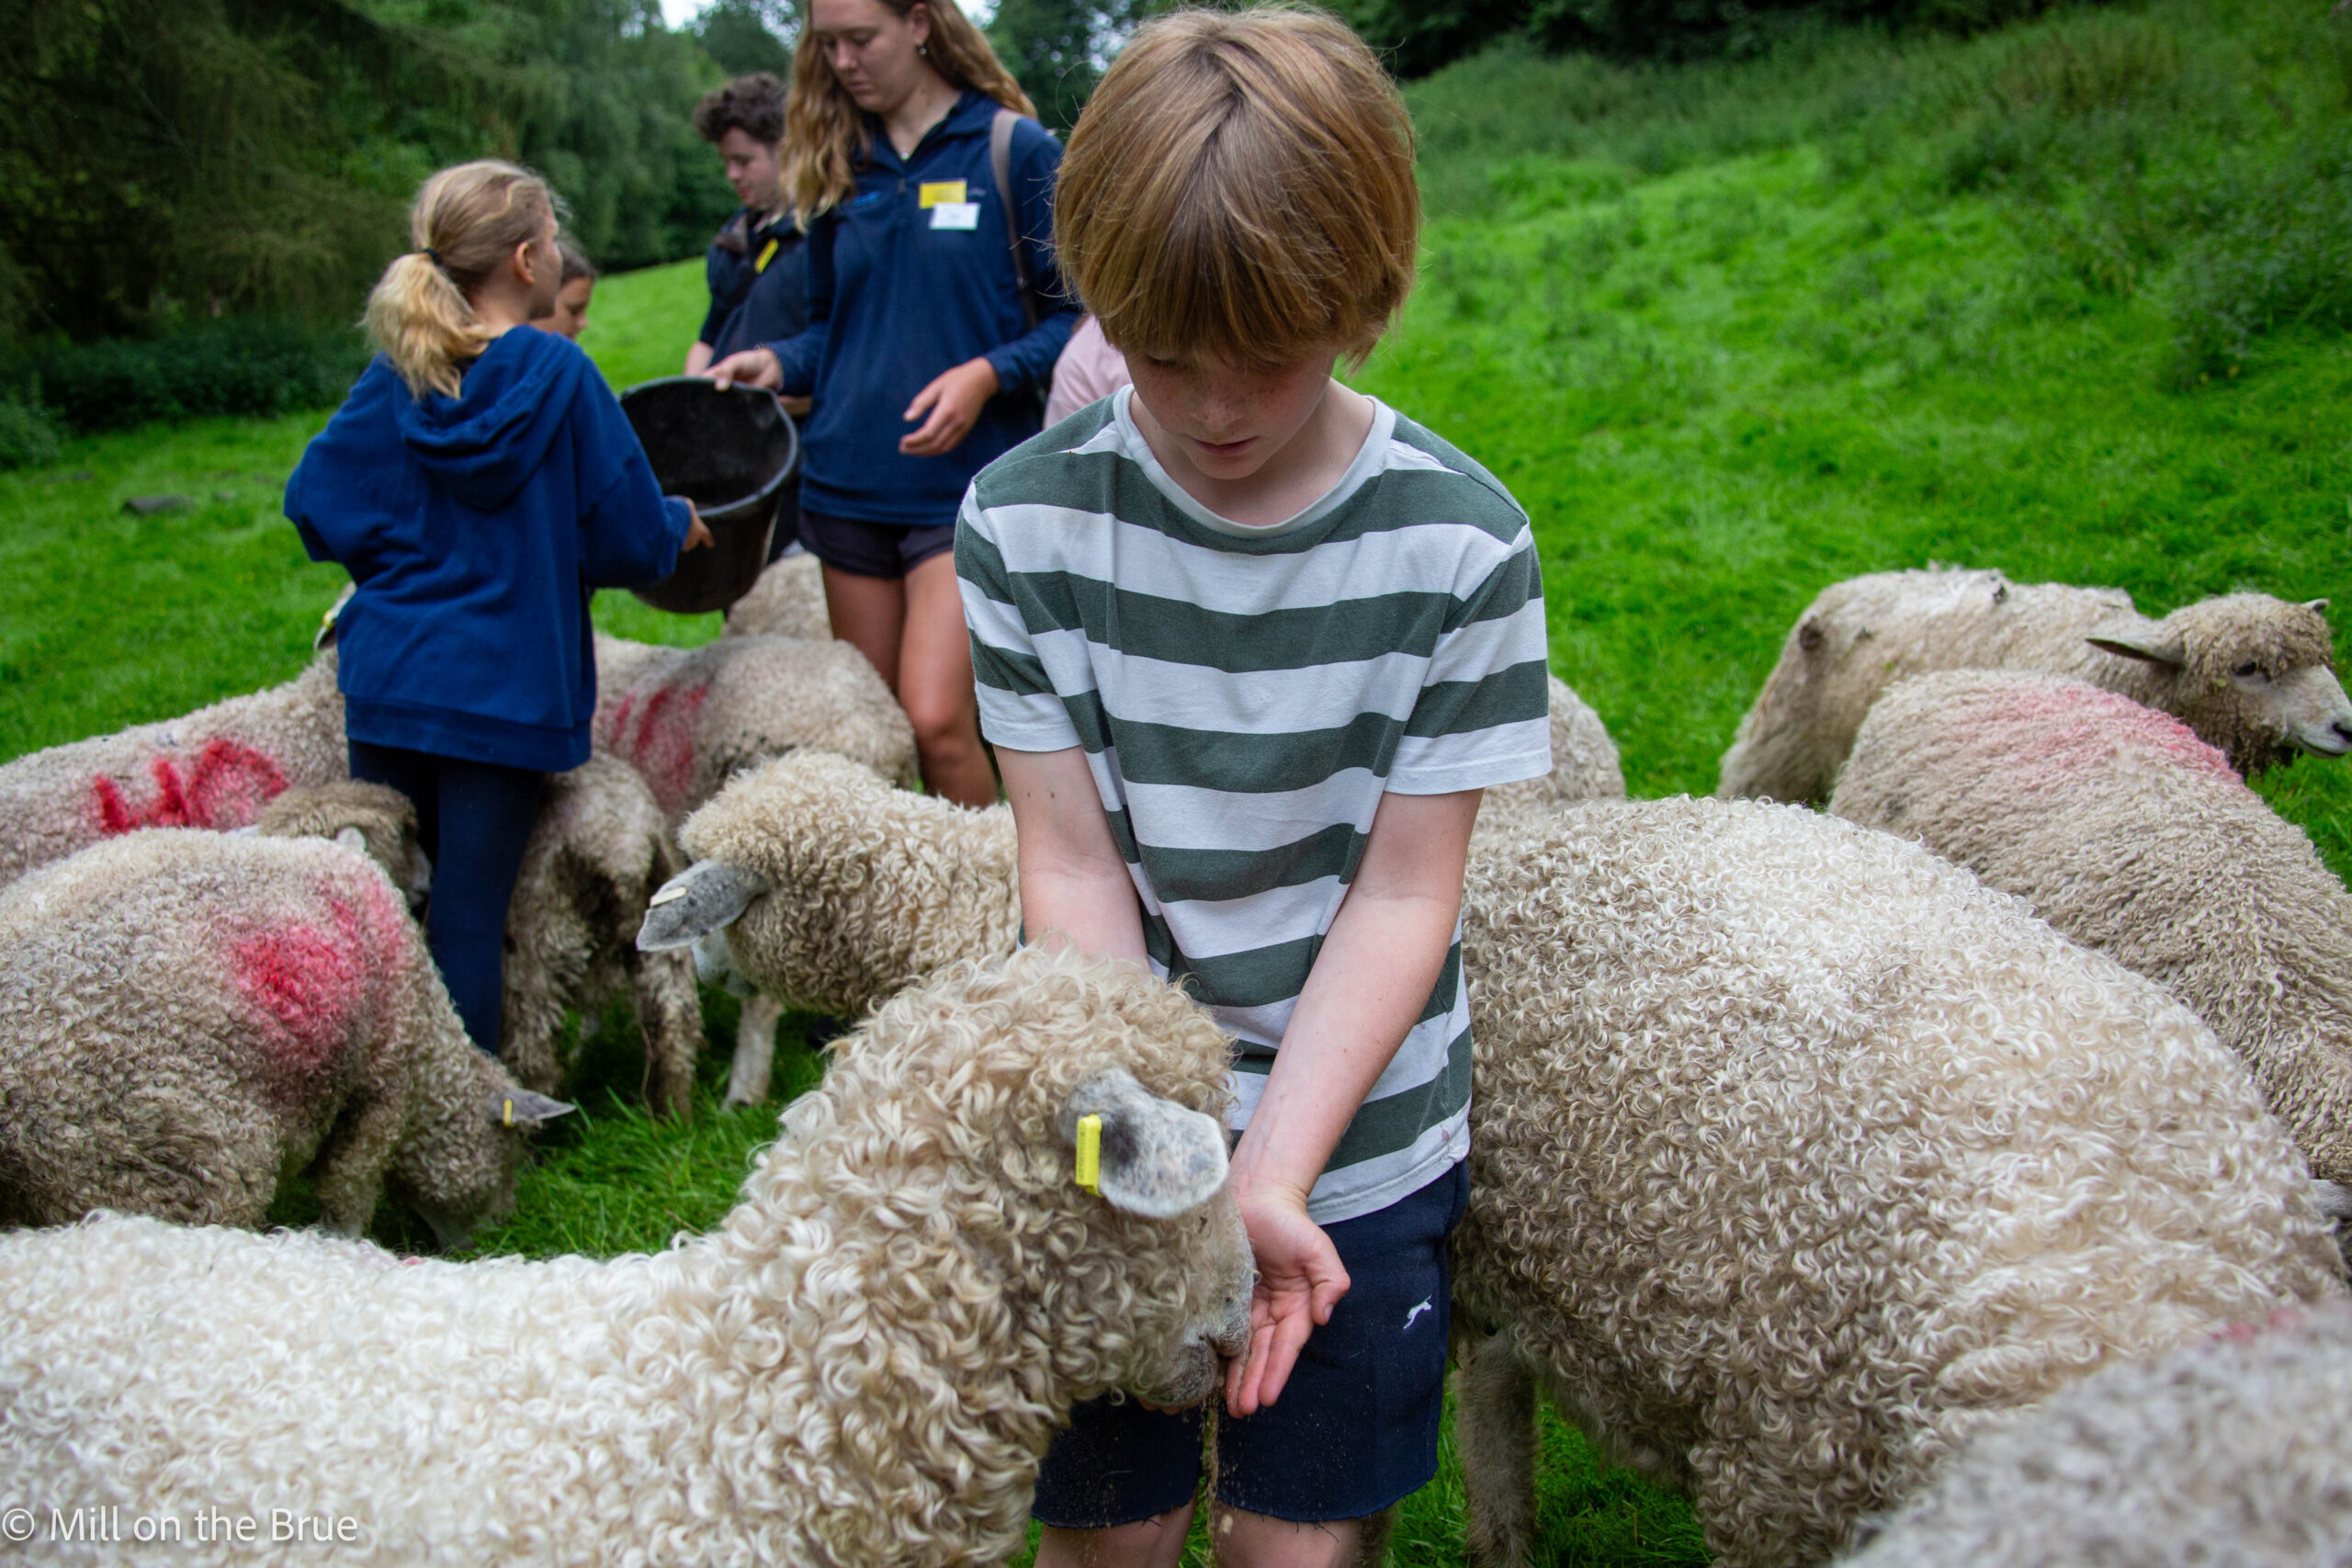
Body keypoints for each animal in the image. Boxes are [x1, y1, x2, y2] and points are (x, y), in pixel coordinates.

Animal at [0, 829, 569, 1243]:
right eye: (508, 1158)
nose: (500, 1235)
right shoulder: (381, 1087)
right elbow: (349, 1187)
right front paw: (342, 1244)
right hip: (156, 1167)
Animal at [1716, 567, 2352, 803]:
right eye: (2248, 669)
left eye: (2325, 661)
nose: (2346, 725)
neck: (2123, 670)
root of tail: (1841, 590)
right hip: (1780, 753)